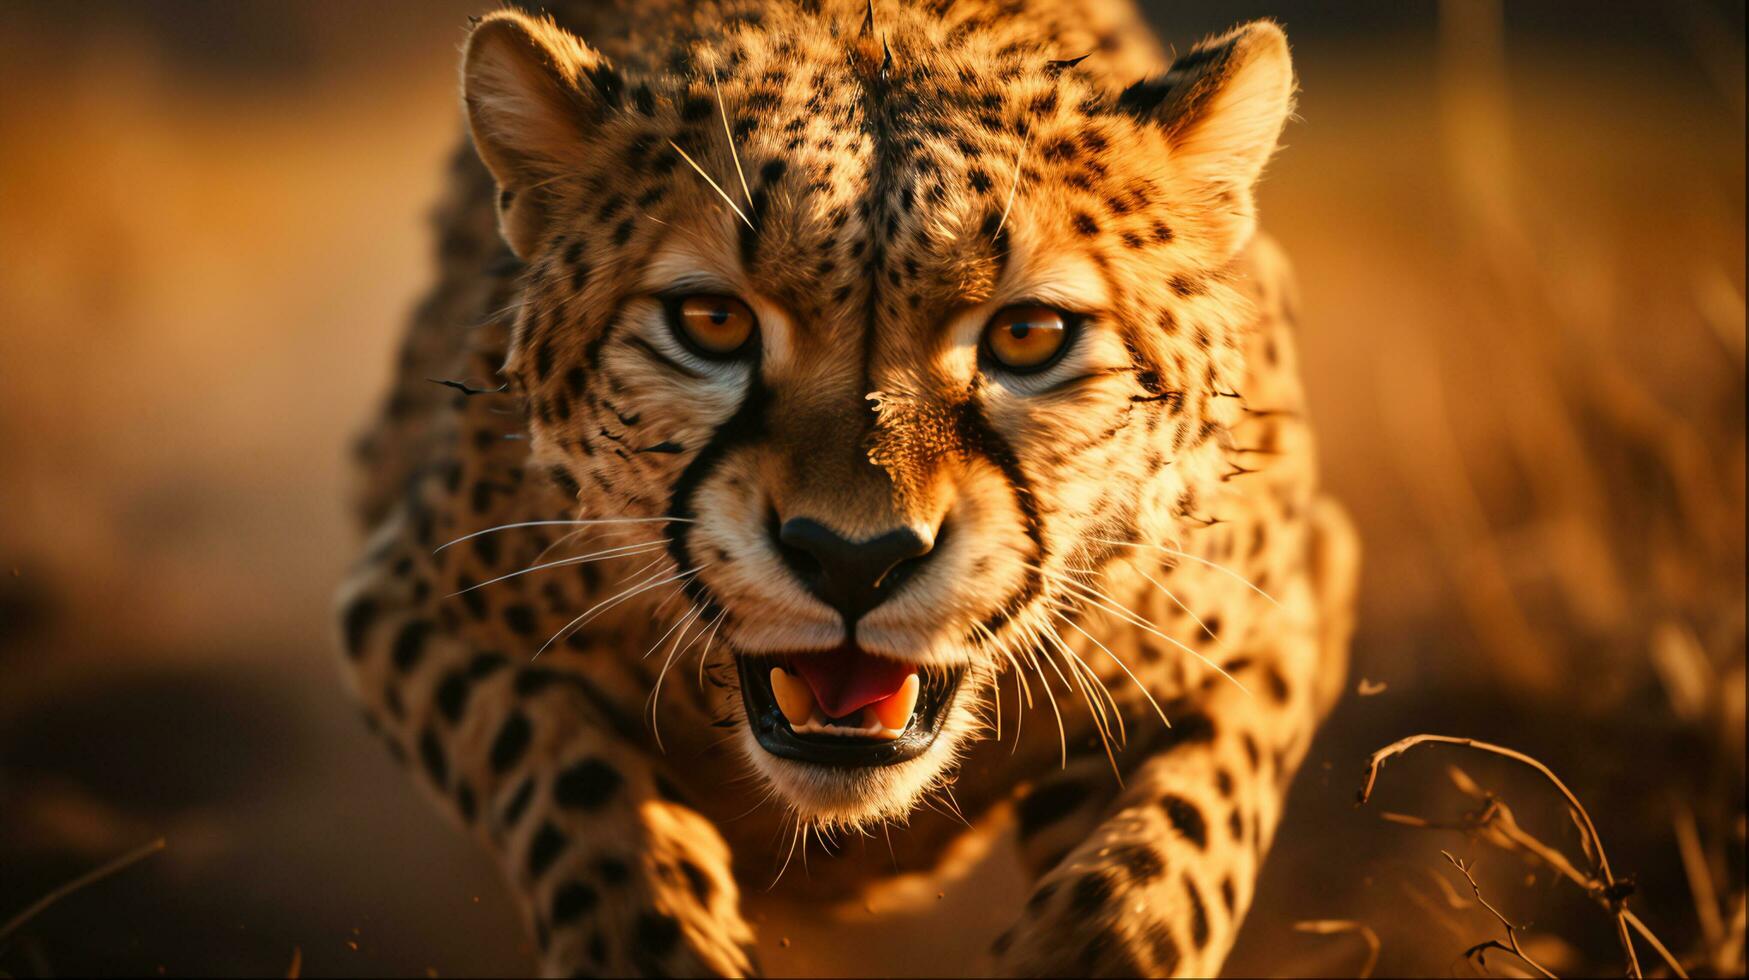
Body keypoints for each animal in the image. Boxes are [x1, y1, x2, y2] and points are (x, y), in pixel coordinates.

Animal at [334, 1, 1357, 973]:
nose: (854, 561)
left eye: (1028, 335)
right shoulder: (409, 606)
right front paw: (656, 938)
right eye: (710, 321)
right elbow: (576, 793)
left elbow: (1165, 856)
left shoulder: (1285, 617)